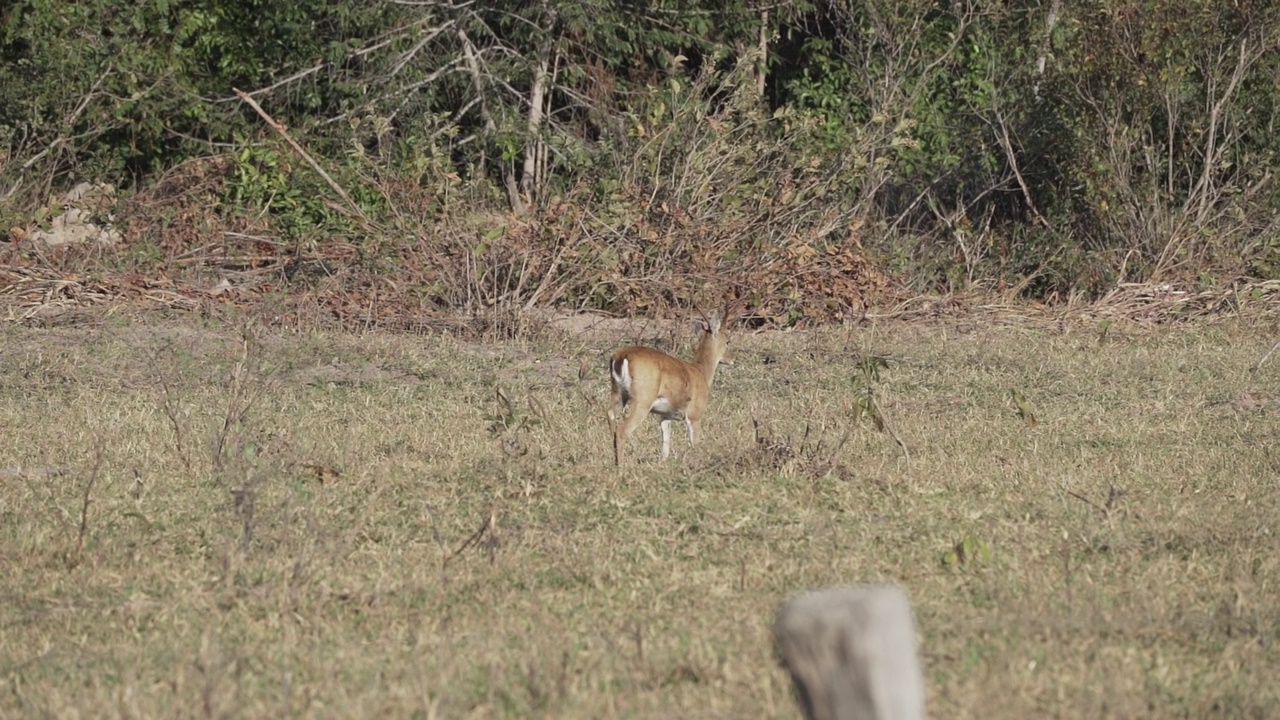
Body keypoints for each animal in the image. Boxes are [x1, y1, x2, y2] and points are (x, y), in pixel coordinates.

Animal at [609, 301, 742, 466]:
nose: (732, 359)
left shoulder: (665, 415)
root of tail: (621, 357)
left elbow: (665, 450)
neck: (701, 372)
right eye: (728, 341)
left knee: (611, 418)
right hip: (642, 401)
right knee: (622, 430)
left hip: (618, 394)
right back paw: (621, 466)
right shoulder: (694, 414)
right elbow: (695, 444)